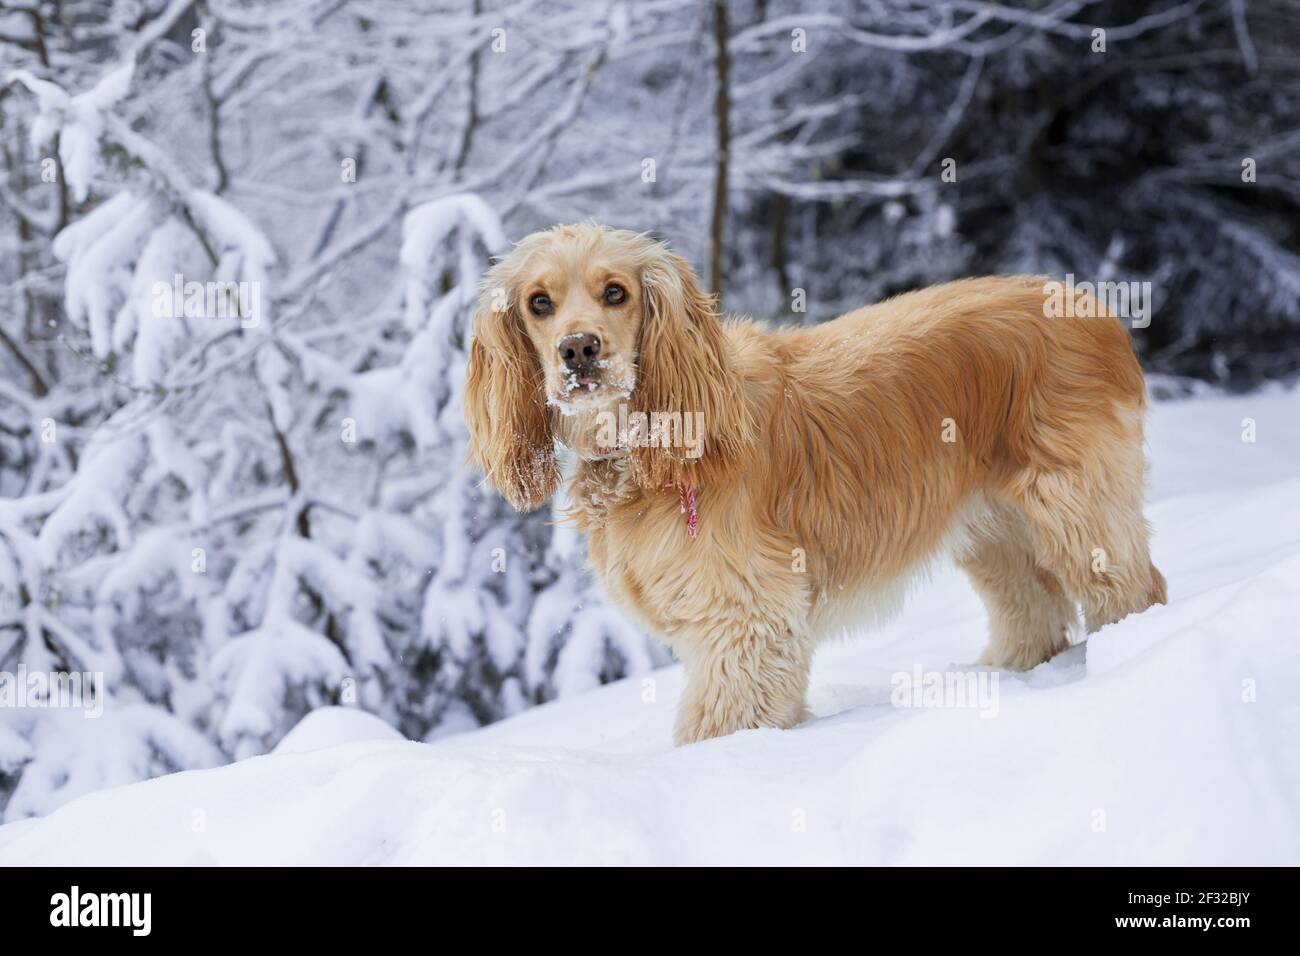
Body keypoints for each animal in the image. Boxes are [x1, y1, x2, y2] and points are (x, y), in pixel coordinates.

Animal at [465, 223, 1170, 749]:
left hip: (1076, 505)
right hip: (994, 528)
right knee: (1035, 611)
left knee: (1134, 589)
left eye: (615, 292)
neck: (642, 444)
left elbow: (719, 725)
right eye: (539, 303)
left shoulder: (748, 618)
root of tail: (1086, 303)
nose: (579, 351)